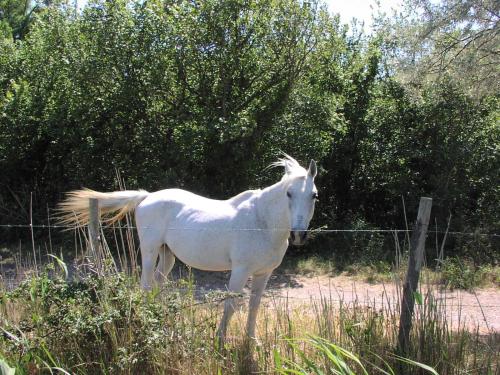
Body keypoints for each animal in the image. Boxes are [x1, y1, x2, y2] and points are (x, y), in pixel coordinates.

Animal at [57, 155, 316, 340]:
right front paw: (220, 342)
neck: (261, 222)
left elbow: (253, 307)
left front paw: (252, 341)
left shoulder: (264, 273)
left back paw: (159, 319)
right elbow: (230, 305)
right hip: (150, 251)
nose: (298, 235)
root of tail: (147, 197)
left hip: (167, 255)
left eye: (313, 195)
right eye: (288, 193)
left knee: (157, 284)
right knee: (145, 285)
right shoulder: (240, 271)